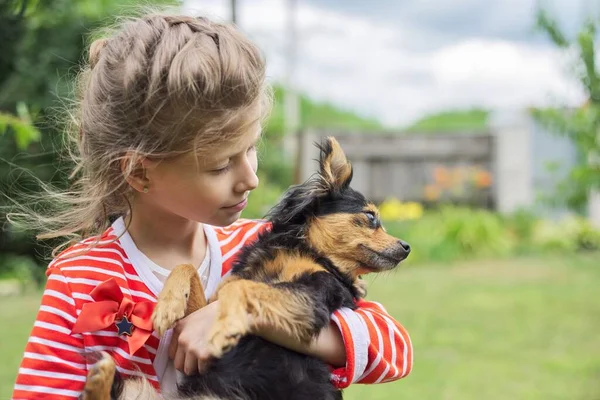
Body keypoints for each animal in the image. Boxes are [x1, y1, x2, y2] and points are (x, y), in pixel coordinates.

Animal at [82, 138, 410, 400]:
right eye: (371, 217)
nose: (406, 247)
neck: (303, 250)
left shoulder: (311, 297)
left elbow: (242, 288)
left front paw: (224, 326)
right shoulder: (210, 302)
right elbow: (187, 266)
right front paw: (168, 305)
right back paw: (99, 378)